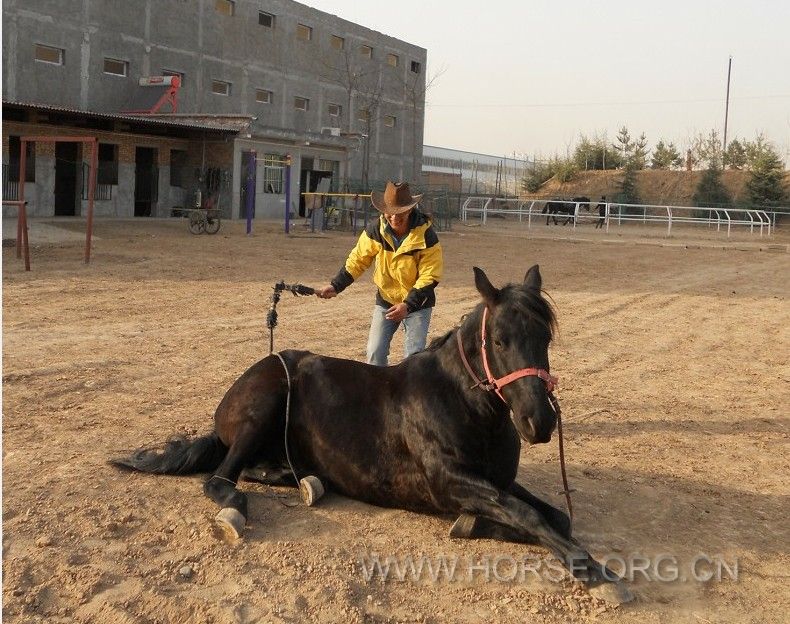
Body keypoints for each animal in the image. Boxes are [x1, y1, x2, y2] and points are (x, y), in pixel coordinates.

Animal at [111, 264, 632, 604]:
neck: (463, 404)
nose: (539, 422)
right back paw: (240, 508)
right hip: (262, 408)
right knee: (222, 479)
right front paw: (596, 573)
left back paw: (307, 482)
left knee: (258, 469)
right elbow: (526, 514)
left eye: (545, 337)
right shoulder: (450, 483)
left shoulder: (496, 481)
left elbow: (550, 515)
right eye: (500, 339)